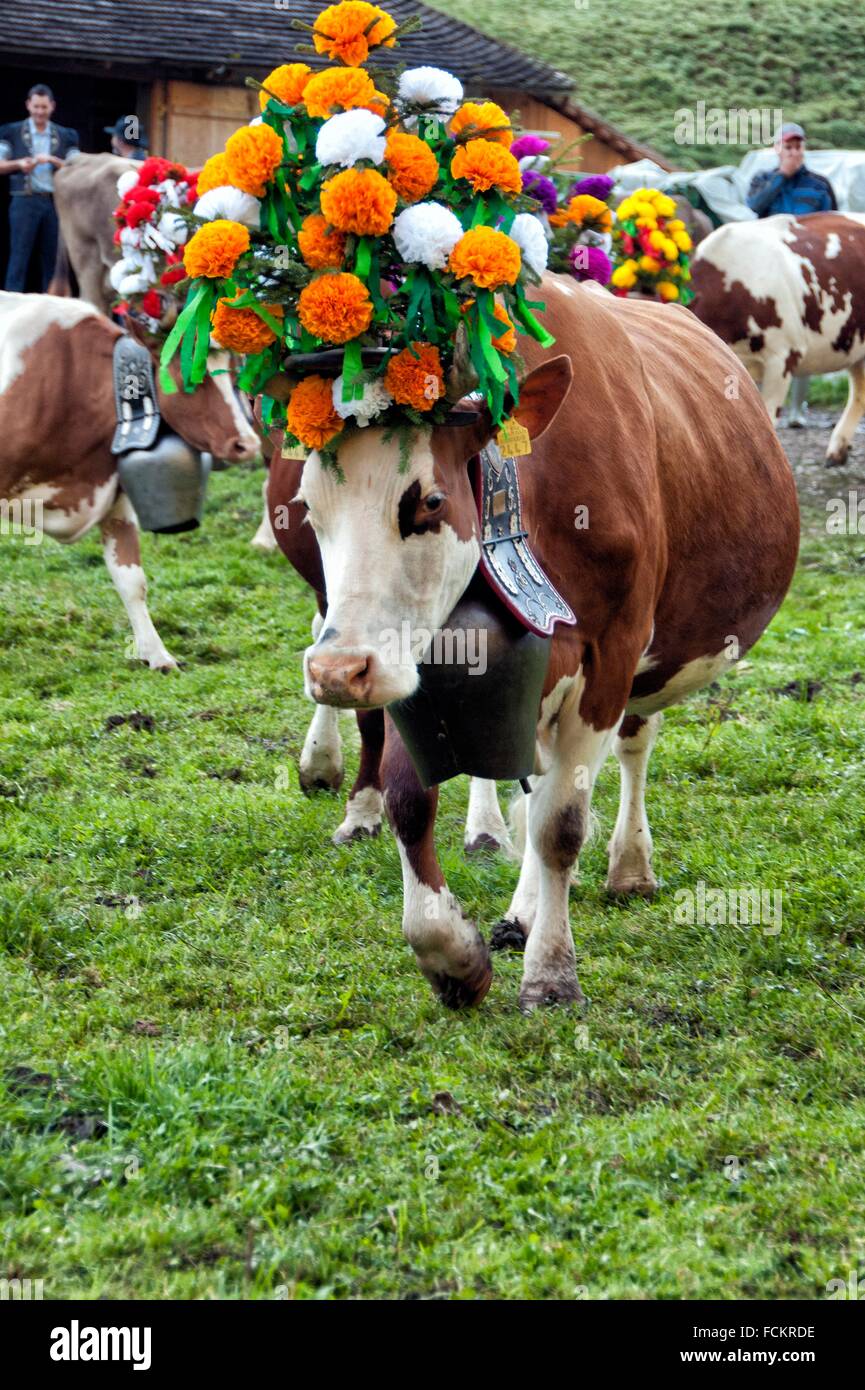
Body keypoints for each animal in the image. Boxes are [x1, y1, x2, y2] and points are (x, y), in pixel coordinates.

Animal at [0, 289, 258, 667]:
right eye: (189, 379)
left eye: (236, 373)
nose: (248, 444)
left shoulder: (114, 497)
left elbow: (131, 579)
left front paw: (158, 655)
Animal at [269, 273, 801, 1011]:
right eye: (309, 505)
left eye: (430, 502)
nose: (336, 671)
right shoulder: (416, 661)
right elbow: (412, 801)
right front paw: (452, 953)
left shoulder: (613, 652)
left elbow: (560, 826)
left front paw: (551, 972)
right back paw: (515, 894)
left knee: (626, 751)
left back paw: (625, 866)